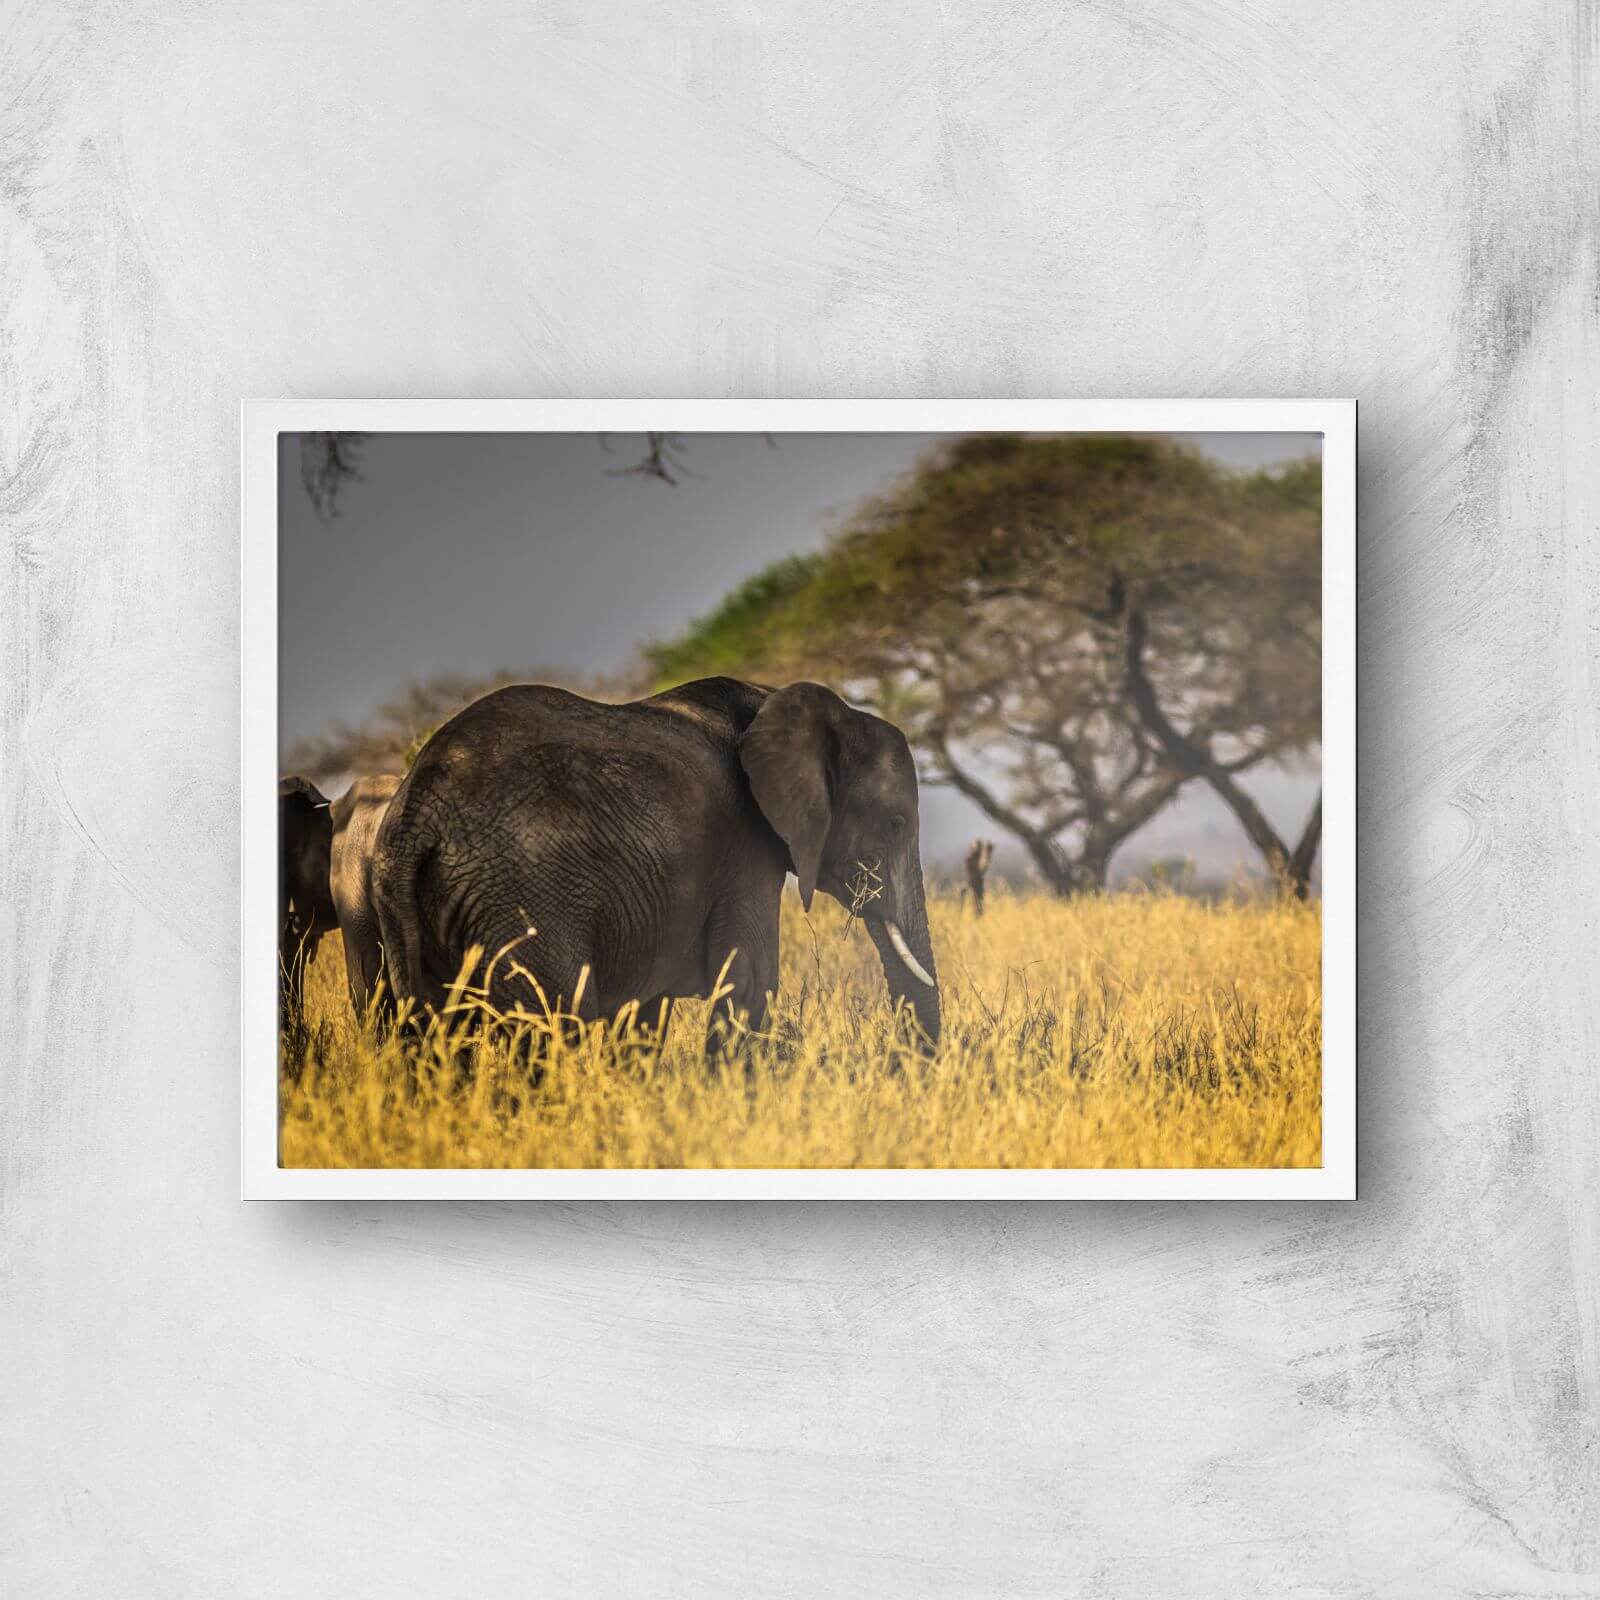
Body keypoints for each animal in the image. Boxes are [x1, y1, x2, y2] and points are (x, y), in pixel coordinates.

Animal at [370, 676, 940, 1057]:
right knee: (556, 1027)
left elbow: (645, 1011)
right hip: (520, 898)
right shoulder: (747, 843)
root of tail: (418, 810)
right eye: (895, 824)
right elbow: (749, 981)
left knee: (431, 1035)